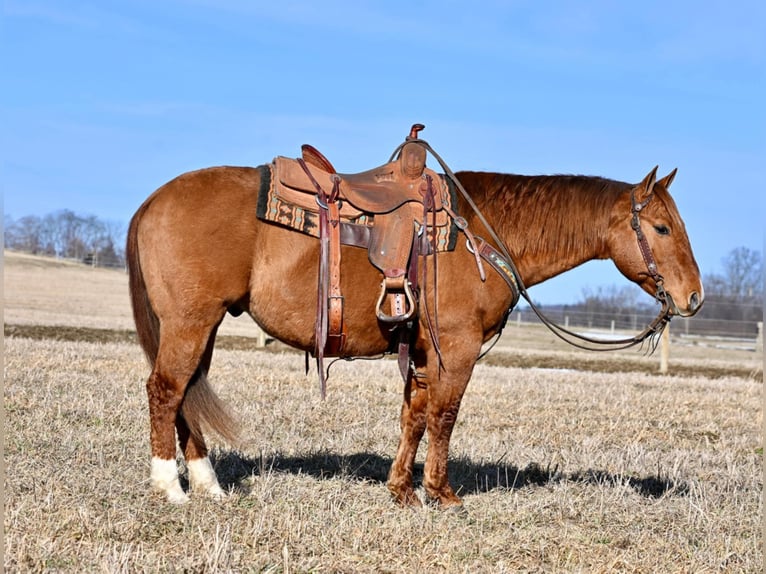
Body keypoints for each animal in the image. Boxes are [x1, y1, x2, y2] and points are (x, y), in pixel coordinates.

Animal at [129, 134, 704, 508]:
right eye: (661, 227)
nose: (694, 297)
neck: (481, 232)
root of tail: (153, 200)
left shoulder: (423, 353)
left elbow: (414, 416)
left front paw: (402, 489)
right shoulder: (458, 349)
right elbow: (444, 418)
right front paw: (442, 493)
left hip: (203, 327)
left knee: (187, 395)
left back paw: (208, 484)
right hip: (189, 322)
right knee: (166, 390)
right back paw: (170, 488)